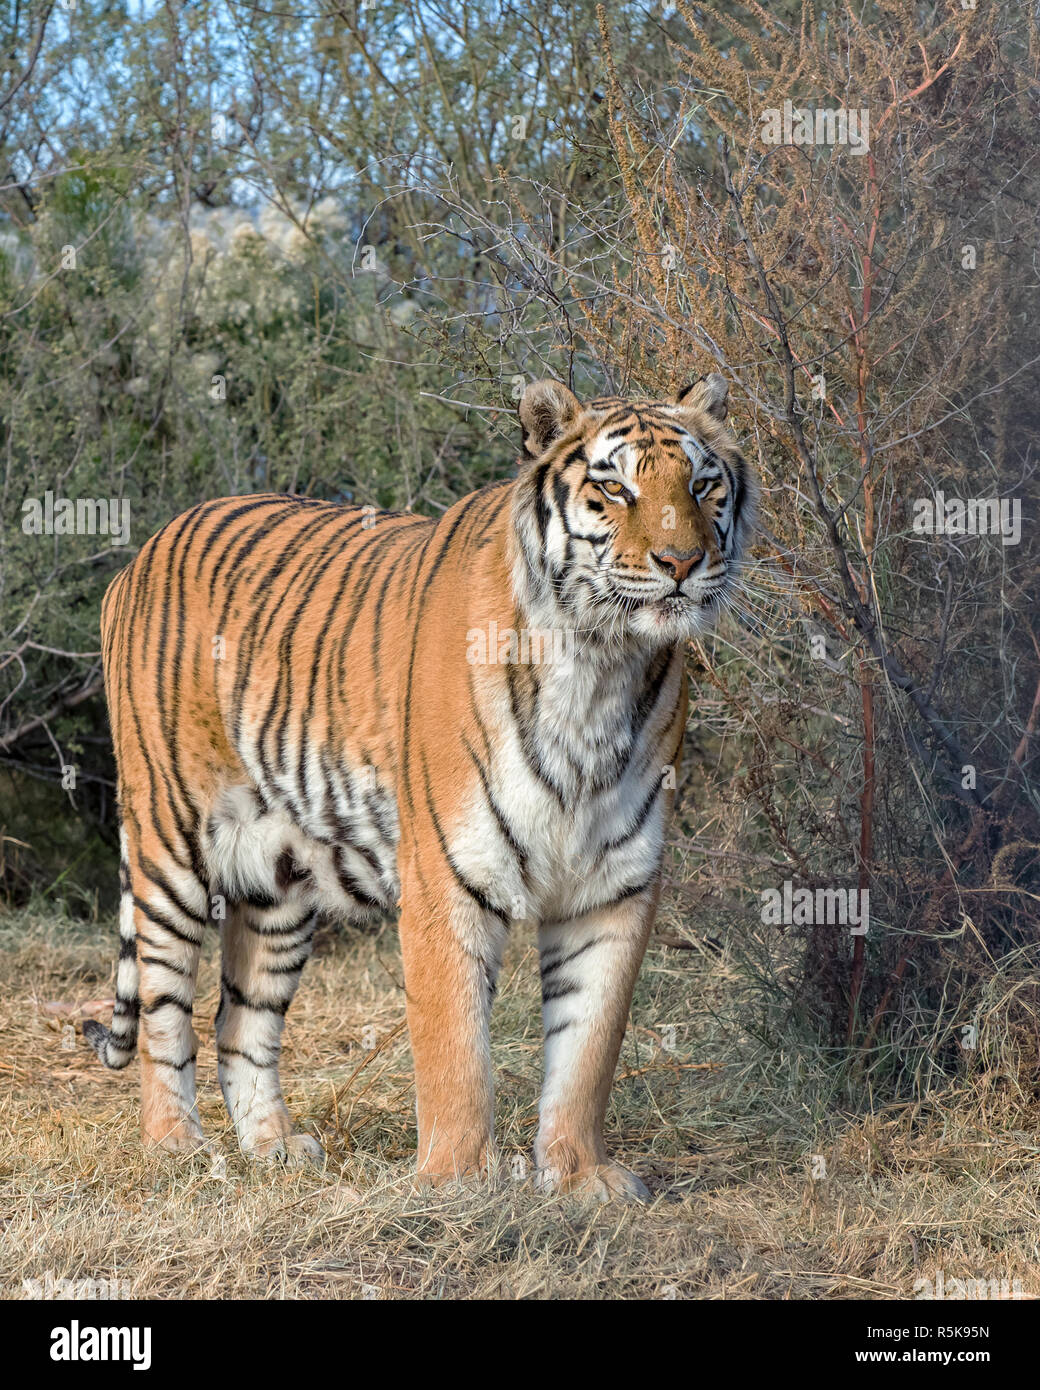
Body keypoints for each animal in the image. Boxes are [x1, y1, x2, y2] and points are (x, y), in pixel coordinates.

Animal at [85, 375, 750, 1200]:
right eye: (614, 488)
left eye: (702, 484)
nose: (681, 561)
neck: (600, 663)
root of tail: (145, 549)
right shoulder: (447, 871)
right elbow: (455, 1047)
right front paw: (457, 1183)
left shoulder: (614, 885)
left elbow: (588, 1047)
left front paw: (578, 1175)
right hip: (169, 845)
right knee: (164, 1013)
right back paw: (176, 1145)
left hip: (278, 882)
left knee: (240, 1021)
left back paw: (274, 1147)